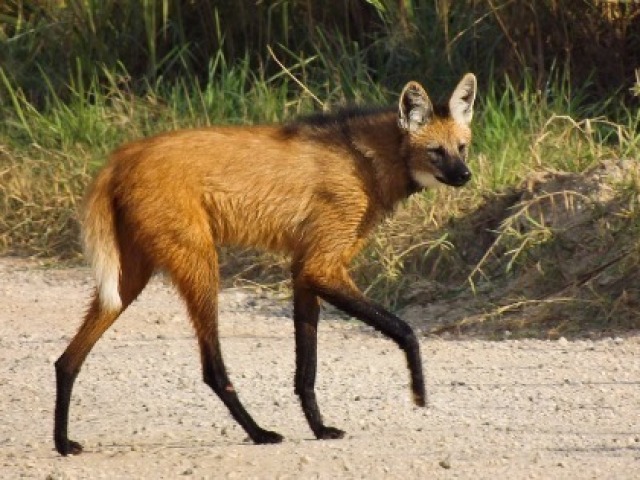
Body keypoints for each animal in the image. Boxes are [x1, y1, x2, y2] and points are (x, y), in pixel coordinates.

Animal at [55, 73, 476, 456]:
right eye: (436, 151)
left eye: (462, 147)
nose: (466, 175)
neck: (367, 160)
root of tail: (120, 157)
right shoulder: (320, 267)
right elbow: (405, 330)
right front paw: (419, 393)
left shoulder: (305, 270)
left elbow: (307, 370)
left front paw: (320, 428)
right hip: (201, 264)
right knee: (211, 368)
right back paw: (259, 433)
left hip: (129, 277)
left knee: (66, 360)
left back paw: (63, 442)